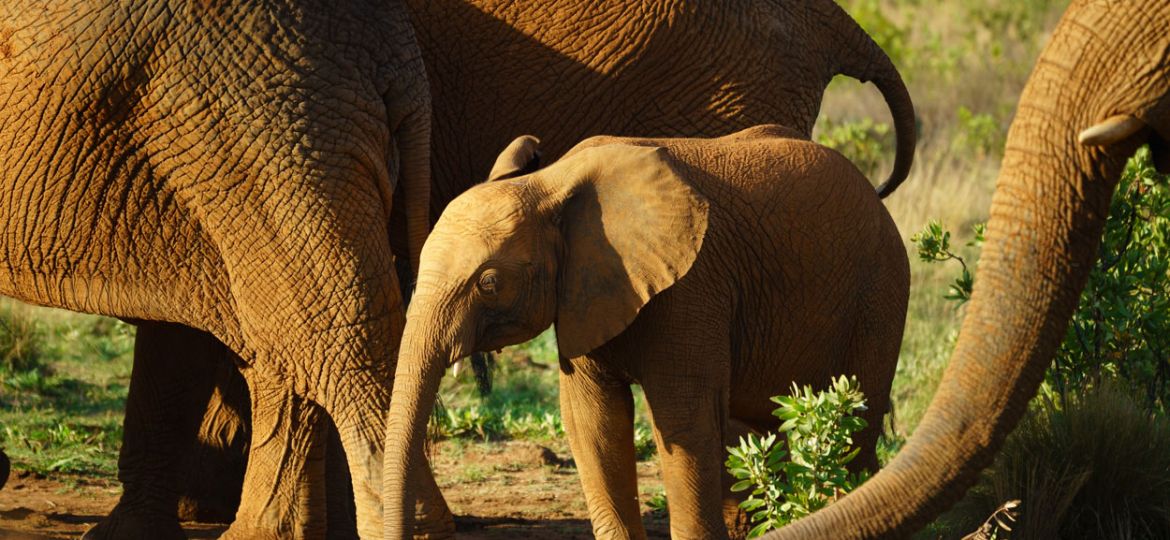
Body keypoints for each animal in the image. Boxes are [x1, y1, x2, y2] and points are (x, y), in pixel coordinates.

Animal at [383, 125, 903, 540]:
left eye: (489, 283)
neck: (550, 183)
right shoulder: (587, 295)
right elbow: (593, 423)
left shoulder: (691, 287)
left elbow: (683, 423)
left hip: (879, 293)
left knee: (855, 433)